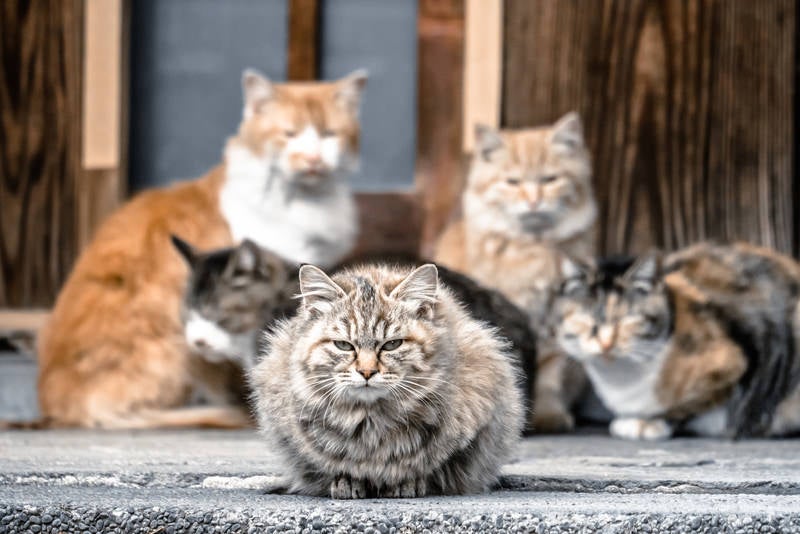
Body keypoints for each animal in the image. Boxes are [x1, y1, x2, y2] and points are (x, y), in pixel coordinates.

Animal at [250, 264, 524, 498]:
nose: (367, 372)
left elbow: (426, 466)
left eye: (392, 344)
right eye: (343, 345)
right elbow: (337, 466)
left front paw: (406, 483)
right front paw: (347, 482)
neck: (370, 420)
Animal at [552, 245, 800, 442]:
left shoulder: (732, 364)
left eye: (629, 319)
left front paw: (647, 423)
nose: (605, 343)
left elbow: (688, 406)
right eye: (586, 319)